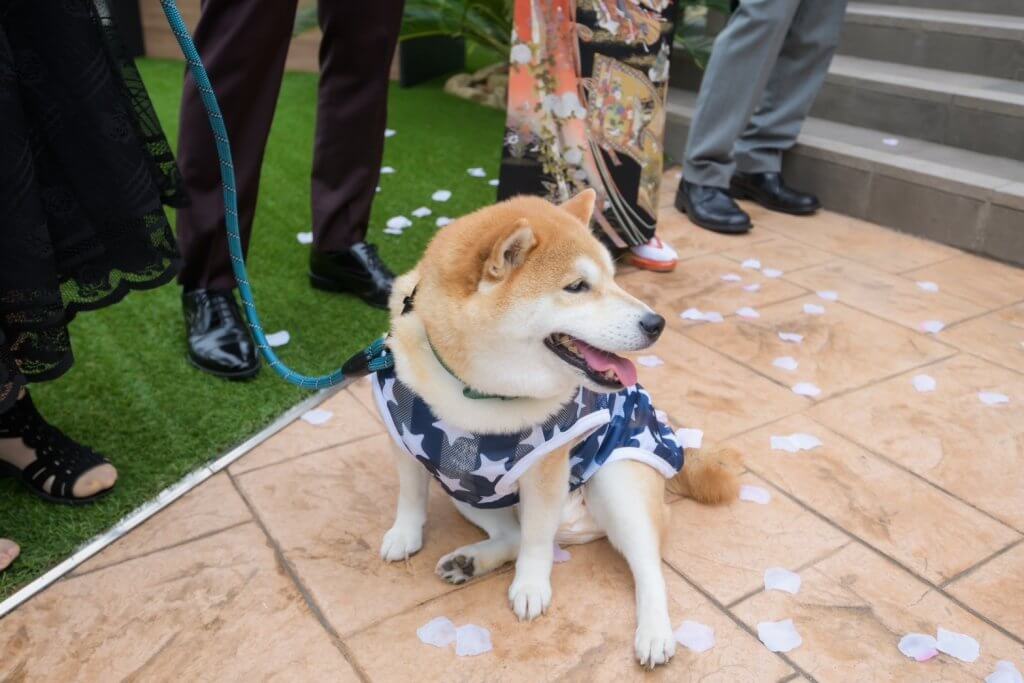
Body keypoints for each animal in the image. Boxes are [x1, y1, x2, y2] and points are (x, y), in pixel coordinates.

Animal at [372, 189, 741, 671]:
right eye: (577, 287)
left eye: (612, 277)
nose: (656, 323)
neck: (479, 393)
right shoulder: (407, 438)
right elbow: (411, 497)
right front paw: (405, 535)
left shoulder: (546, 467)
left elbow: (535, 541)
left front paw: (531, 586)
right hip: (466, 490)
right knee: (514, 534)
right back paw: (469, 562)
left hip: (616, 482)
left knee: (646, 567)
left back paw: (655, 633)